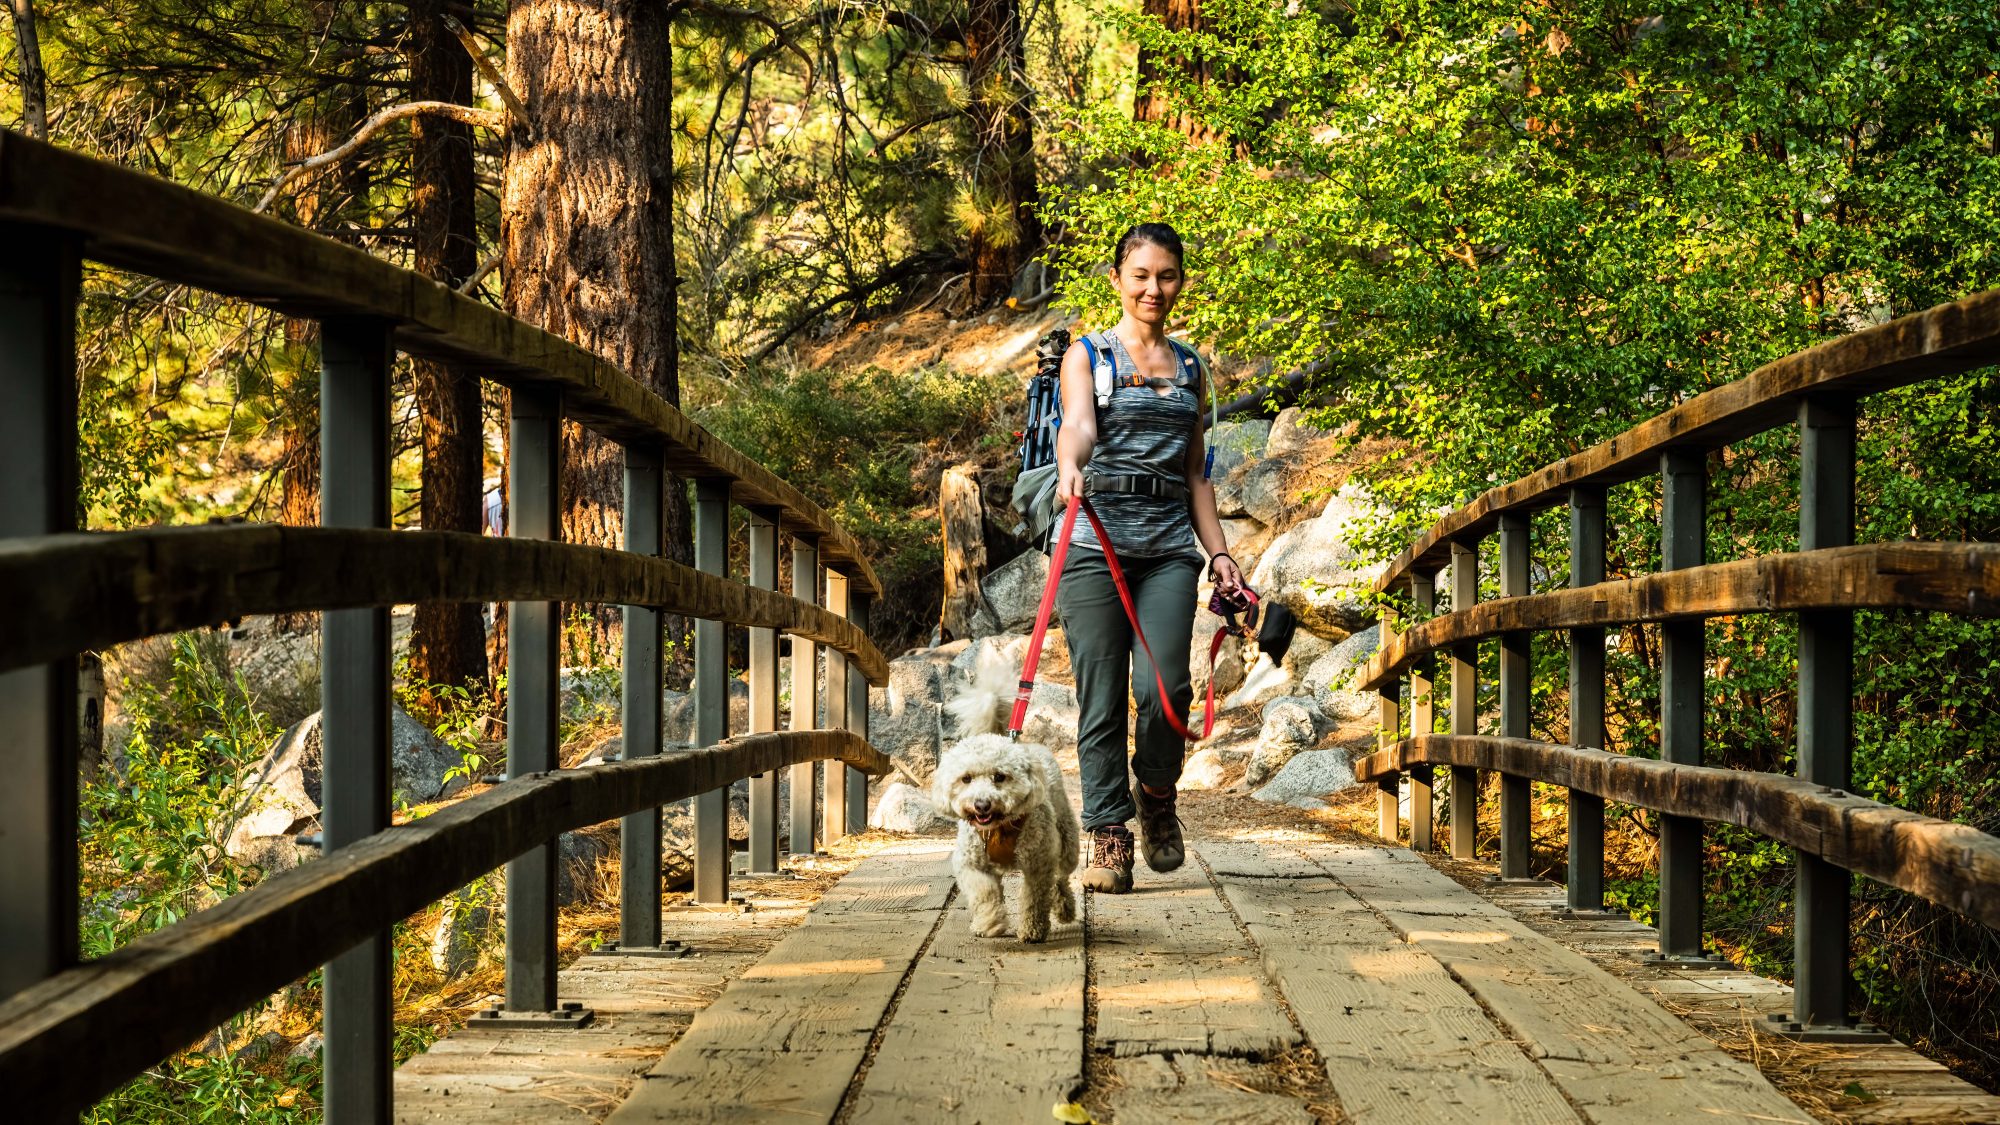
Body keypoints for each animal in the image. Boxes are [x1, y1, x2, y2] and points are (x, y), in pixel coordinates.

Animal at [932, 644, 1080, 940]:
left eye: (999, 777)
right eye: (966, 779)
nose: (981, 804)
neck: (998, 828)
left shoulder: (1038, 863)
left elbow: (1035, 898)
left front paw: (1033, 930)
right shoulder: (971, 863)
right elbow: (984, 891)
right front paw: (990, 922)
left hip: (1066, 839)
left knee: (1061, 876)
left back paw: (1064, 907)